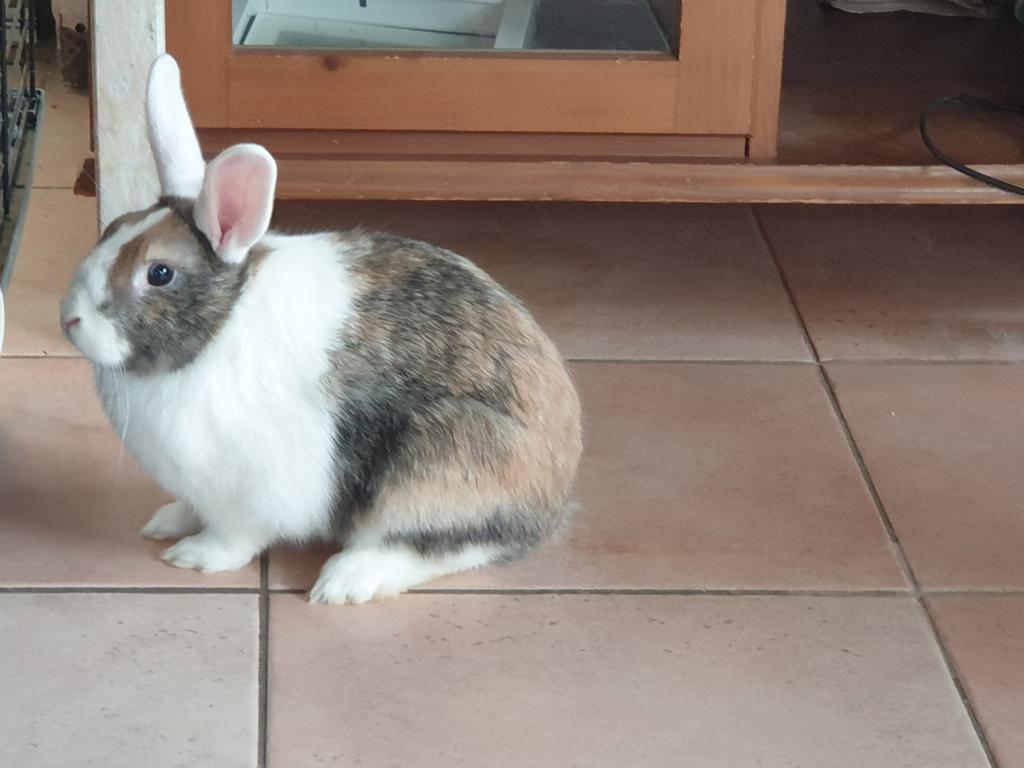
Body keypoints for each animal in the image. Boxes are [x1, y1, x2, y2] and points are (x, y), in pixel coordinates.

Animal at [58, 54, 582, 604]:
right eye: (112, 229)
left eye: (159, 273)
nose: (70, 318)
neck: (221, 328)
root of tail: (555, 494)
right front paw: (168, 521)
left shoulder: (252, 494)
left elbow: (235, 536)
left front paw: (194, 556)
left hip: (437, 465)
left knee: (450, 545)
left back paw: (345, 581)